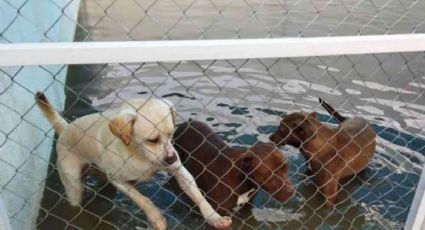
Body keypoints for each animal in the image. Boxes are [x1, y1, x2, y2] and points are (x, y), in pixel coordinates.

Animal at [34, 92, 230, 230]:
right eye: (152, 140)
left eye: (171, 134)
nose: (173, 158)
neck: (139, 155)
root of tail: (65, 128)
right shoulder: (119, 181)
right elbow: (143, 200)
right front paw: (156, 218)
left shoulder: (180, 171)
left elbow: (198, 196)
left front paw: (215, 218)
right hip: (74, 187)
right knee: (76, 199)